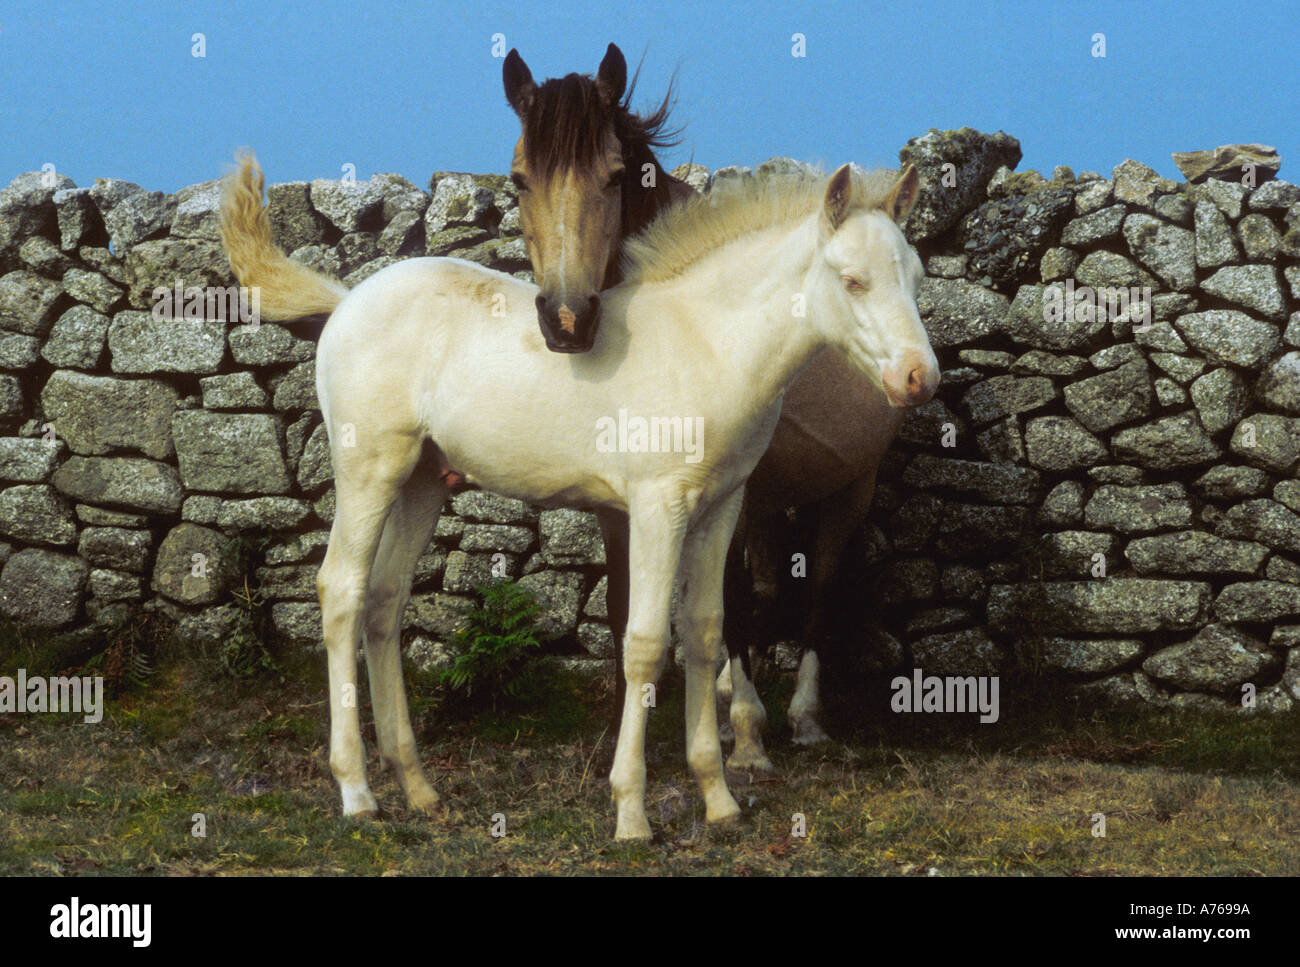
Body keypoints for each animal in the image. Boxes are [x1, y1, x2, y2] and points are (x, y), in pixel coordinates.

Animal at [220, 152, 937, 838]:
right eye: (852, 279)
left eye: (916, 276)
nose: (918, 378)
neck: (706, 343)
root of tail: (347, 300)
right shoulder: (656, 506)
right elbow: (645, 645)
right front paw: (631, 813)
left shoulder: (723, 506)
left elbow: (706, 632)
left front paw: (719, 798)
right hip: (370, 467)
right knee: (340, 590)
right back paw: (357, 792)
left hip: (423, 479)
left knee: (384, 601)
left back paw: (417, 785)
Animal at [503, 45, 928, 770]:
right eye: (518, 180)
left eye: (616, 176)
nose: (567, 320)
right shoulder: (628, 497)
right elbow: (628, 605)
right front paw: (635, 727)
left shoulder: (729, 487)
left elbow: (730, 601)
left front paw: (750, 735)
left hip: (849, 487)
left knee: (813, 591)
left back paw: (798, 714)